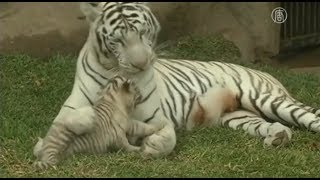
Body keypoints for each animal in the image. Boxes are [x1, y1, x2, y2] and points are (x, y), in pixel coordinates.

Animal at [33, 76, 162, 170]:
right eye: (137, 90)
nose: (142, 95)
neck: (110, 98)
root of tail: (51, 156)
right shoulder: (126, 127)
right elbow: (140, 129)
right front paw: (156, 129)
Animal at [50, 2, 320, 158]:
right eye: (117, 40)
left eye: (143, 33)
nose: (141, 64)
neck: (115, 72)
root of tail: (268, 73)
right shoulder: (72, 105)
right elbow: (69, 119)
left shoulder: (155, 117)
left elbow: (167, 137)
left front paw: (153, 146)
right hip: (239, 116)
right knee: (269, 125)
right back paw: (277, 137)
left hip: (264, 98)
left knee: (310, 117)